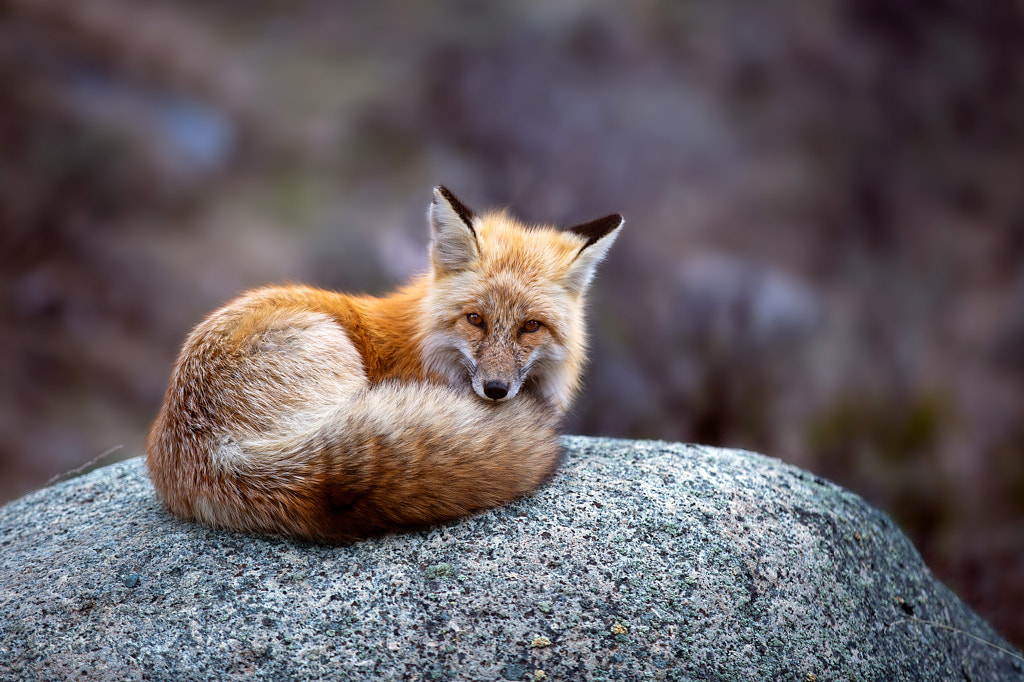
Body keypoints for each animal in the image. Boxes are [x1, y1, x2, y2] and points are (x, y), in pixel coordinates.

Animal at [145, 186, 622, 540]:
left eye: (530, 326)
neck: (423, 346)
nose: (496, 390)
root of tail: (216, 456)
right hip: (334, 354)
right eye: (475, 320)